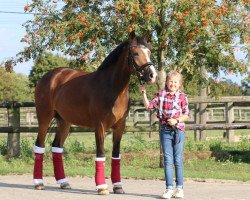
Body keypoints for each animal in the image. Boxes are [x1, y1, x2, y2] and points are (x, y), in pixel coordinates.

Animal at [32, 30, 156, 194]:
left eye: (149, 51)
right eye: (135, 53)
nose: (152, 76)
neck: (112, 87)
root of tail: (48, 77)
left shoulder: (120, 127)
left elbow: (116, 155)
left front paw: (118, 186)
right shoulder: (100, 126)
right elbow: (101, 154)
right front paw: (102, 187)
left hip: (64, 122)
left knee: (57, 147)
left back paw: (64, 182)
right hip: (44, 118)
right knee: (39, 145)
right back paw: (38, 183)